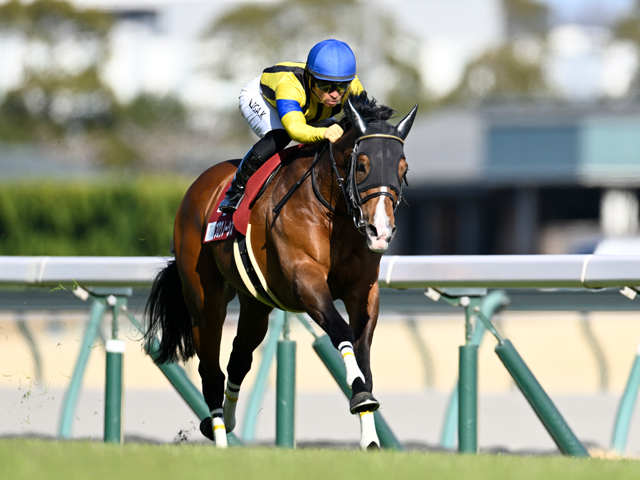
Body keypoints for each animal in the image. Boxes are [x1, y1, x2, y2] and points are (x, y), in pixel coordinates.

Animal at [142, 93, 418, 450]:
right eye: (362, 165)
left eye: (403, 168)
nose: (380, 231)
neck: (336, 214)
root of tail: (198, 187)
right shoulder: (306, 280)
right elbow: (340, 331)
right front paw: (360, 397)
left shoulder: (364, 291)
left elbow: (363, 352)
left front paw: (369, 430)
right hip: (204, 301)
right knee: (211, 369)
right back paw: (219, 438)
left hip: (256, 305)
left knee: (239, 358)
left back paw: (225, 422)